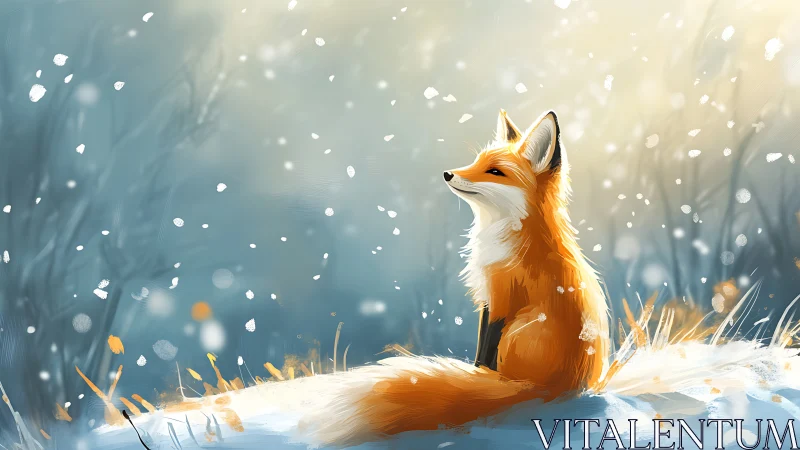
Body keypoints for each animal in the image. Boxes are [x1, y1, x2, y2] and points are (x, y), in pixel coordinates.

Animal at [303, 110, 611, 445]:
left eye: (495, 171)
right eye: (476, 161)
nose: (448, 174)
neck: (511, 233)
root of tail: (561, 388)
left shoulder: (501, 298)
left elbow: (484, 353)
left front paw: (474, 377)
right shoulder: (486, 301)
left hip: (519, 330)